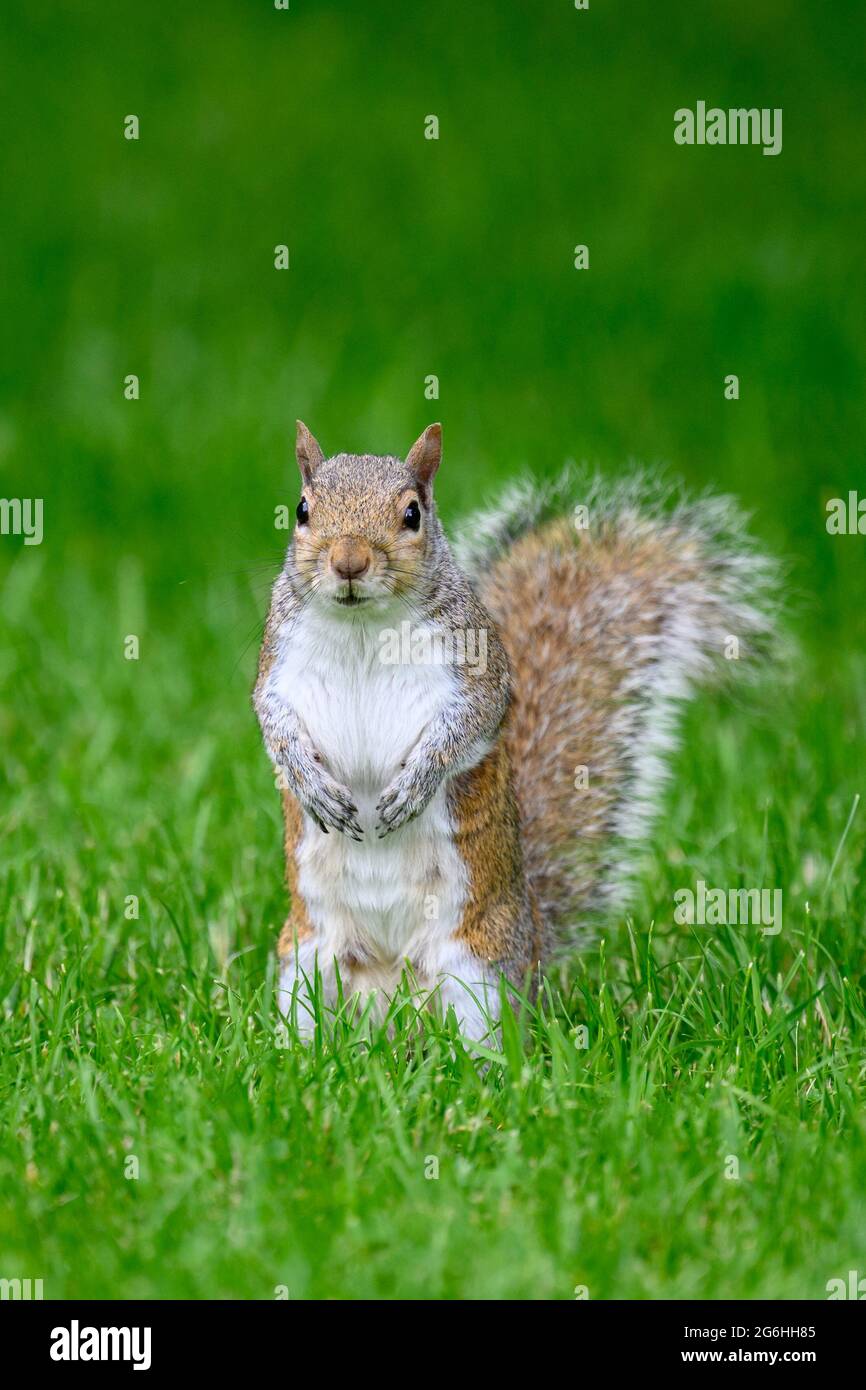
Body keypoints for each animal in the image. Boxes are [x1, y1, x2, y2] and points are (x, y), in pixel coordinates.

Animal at [254, 421, 779, 1040]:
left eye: (412, 513)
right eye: (302, 509)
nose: (349, 562)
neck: (362, 626)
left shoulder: (478, 672)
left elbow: (466, 727)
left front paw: (414, 785)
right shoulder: (277, 667)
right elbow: (273, 723)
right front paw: (310, 784)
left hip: (477, 972)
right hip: (306, 961)